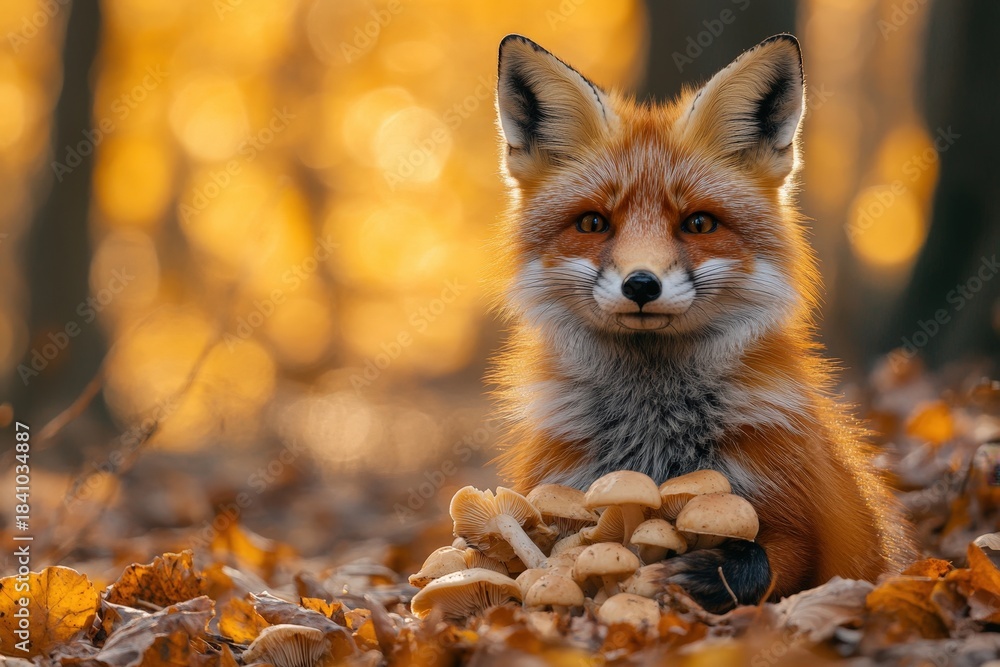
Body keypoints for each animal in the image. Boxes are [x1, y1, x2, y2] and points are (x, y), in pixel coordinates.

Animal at [489, 33, 916, 612]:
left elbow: (764, 562)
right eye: (593, 223)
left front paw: (687, 578)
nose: (641, 285)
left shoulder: (800, 519)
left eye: (698, 224)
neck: (653, 427)